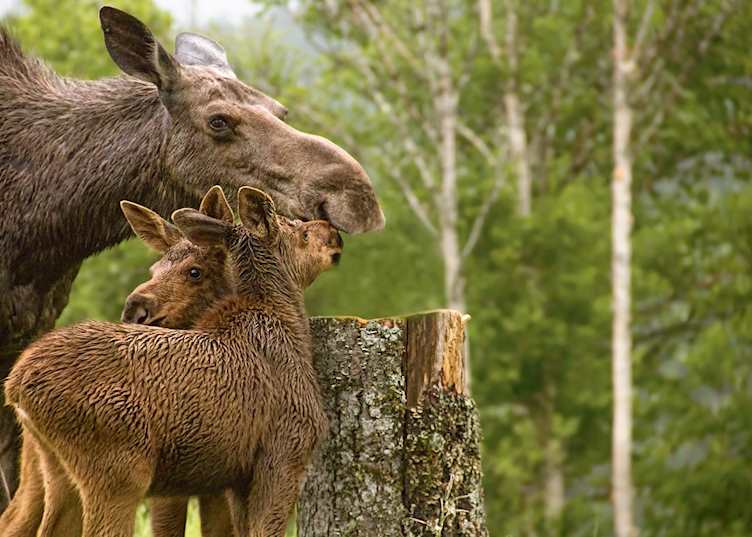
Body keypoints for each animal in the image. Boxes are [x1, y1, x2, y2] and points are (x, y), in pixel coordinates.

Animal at [0, 186, 342, 537]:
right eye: (302, 233)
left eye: (193, 270)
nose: (333, 232)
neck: (287, 325)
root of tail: (15, 386)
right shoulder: (285, 452)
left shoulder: (234, 480)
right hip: (120, 471)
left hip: (55, 471)